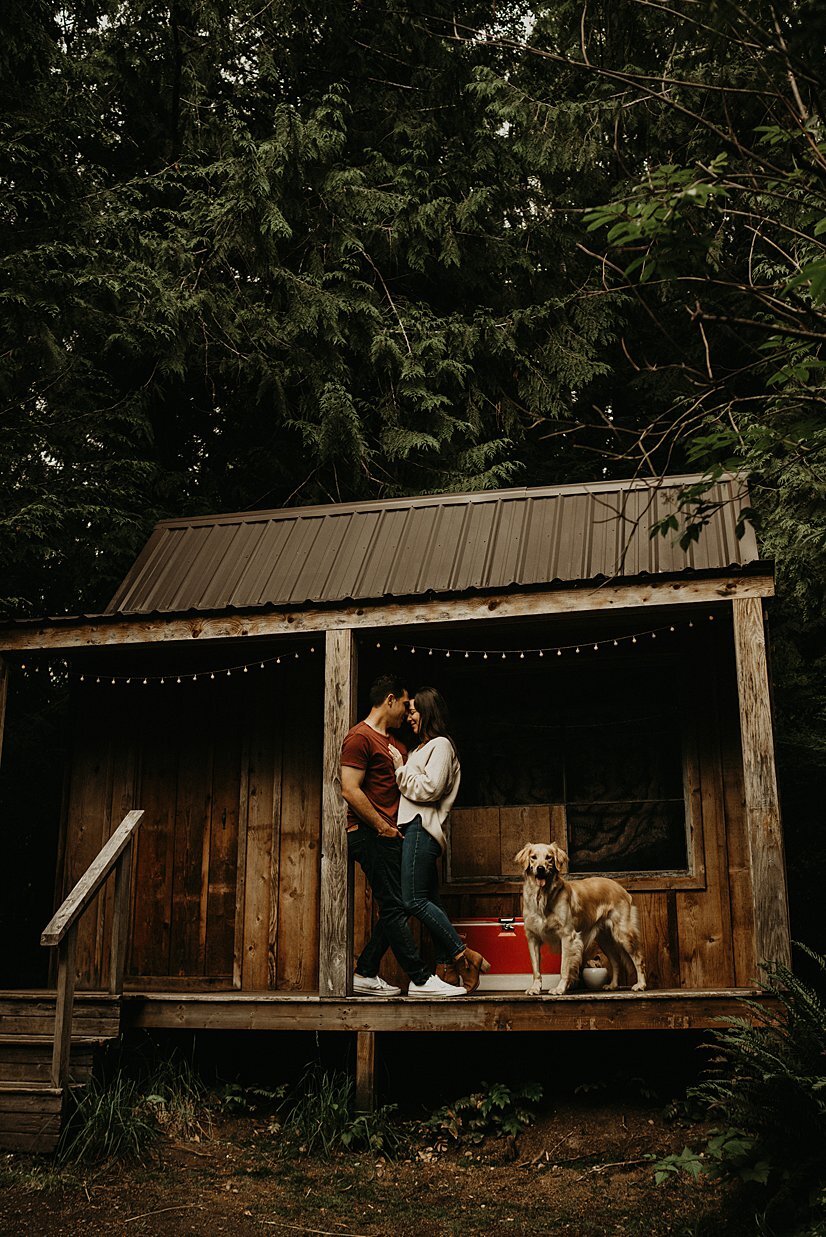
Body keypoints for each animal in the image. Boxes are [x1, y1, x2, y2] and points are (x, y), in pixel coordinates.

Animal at [516, 841, 642, 994]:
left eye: (549, 858)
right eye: (533, 857)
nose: (540, 869)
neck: (542, 896)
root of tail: (621, 888)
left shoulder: (567, 936)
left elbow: (564, 967)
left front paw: (560, 988)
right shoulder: (532, 937)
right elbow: (536, 968)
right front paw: (535, 987)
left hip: (624, 933)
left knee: (638, 958)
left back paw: (641, 984)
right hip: (605, 939)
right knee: (616, 961)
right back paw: (613, 985)